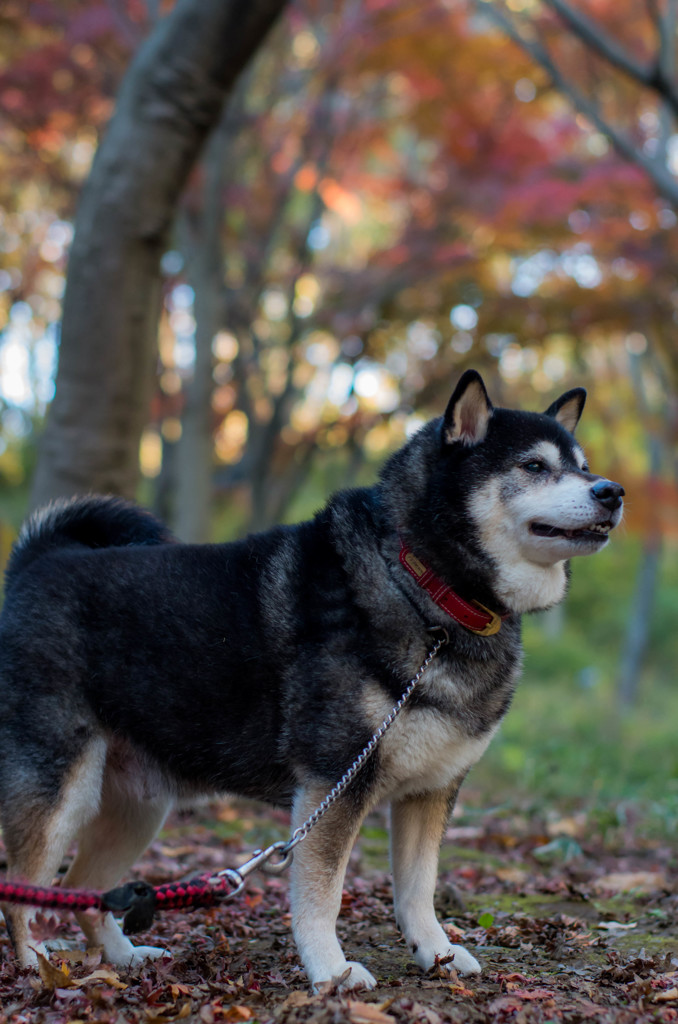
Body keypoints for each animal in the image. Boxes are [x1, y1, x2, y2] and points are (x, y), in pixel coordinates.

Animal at [0, 372, 626, 987]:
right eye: (534, 466)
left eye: (584, 465)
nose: (612, 491)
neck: (425, 587)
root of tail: (35, 564)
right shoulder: (333, 783)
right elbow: (323, 894)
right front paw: (331, 970)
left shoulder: (430, 790)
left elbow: (417, 890)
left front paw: (437, 952)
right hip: (61, 793)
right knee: (22, 893)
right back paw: (37, 968)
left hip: (136, 808)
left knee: (85, 892)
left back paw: (123, 957)